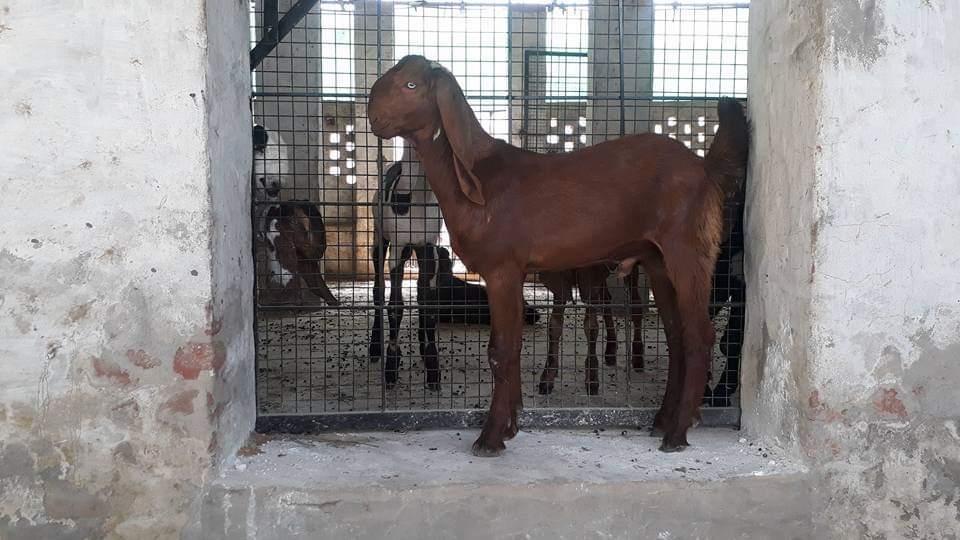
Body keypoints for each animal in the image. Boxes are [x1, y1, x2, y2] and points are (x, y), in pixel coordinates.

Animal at [368, 145, 444, 390]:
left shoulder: (428, 247)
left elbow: (428, 304)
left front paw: (433, 368)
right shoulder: (398, 249)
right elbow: (395, 306)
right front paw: (391, 366)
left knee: (420, 293)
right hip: (380, 238)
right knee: (378, 289)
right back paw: (376, 348)